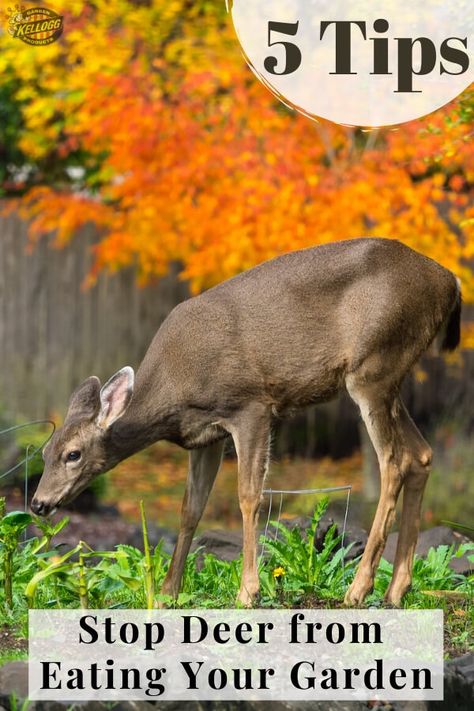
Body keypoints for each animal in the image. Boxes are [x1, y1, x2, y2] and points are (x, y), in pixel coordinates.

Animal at [31, 238, 462, 608]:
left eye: (73, 454)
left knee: (394, 462)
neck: (175, 388)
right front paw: (169, 591)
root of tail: (449, 281)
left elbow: (249, 496)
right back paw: (396, 590)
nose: (38, 503)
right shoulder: (204, 436)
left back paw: (358, 589)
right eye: (44, 451)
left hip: (373, 366)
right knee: (421, 455)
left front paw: (248, 591)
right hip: (390, 377)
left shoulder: (251, 406)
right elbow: (191, 508)